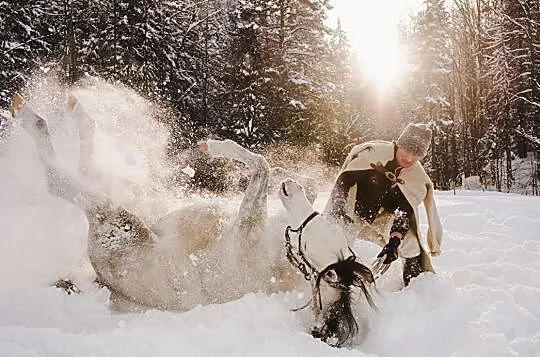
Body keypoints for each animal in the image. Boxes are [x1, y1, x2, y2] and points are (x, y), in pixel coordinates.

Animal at [12, 95, 376, 348]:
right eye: (329, 227)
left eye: (319, 231)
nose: (290, 189)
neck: (283, 259)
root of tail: (106, 283)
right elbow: (280, 173)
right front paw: (295, 177)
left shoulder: (246, 225)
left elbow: (261, 164)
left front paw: (214, 146)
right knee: (88, 165)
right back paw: (77, 111)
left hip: (119, 222)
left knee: (59, 180)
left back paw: (31, 116)